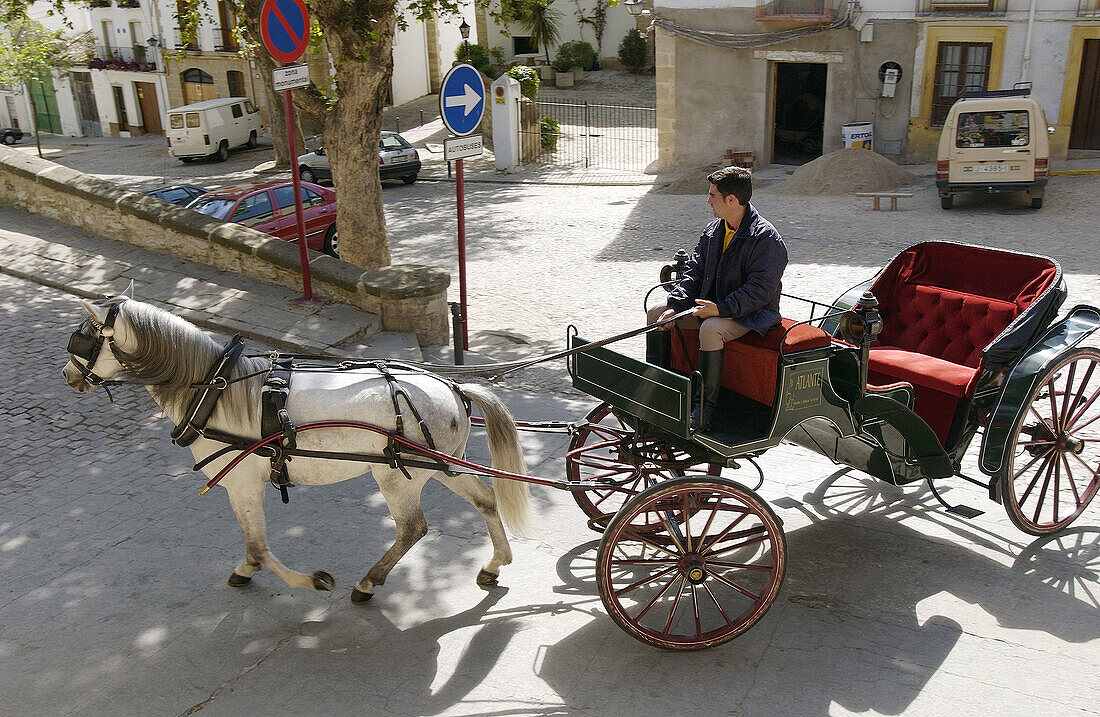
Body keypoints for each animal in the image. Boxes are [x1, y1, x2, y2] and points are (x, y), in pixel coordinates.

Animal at [62, 294, 530, 602]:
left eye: (82, 339)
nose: (67, 374)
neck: (216, 388)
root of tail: (455, 388)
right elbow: (256, 545)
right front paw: (250, 571)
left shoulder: (241, 482)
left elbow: (258, 546)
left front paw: (305, 579)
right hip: (442, 464)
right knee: (486, 500)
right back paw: (494, 564)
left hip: (398, 475)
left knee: (413, 528)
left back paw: (367, 583)